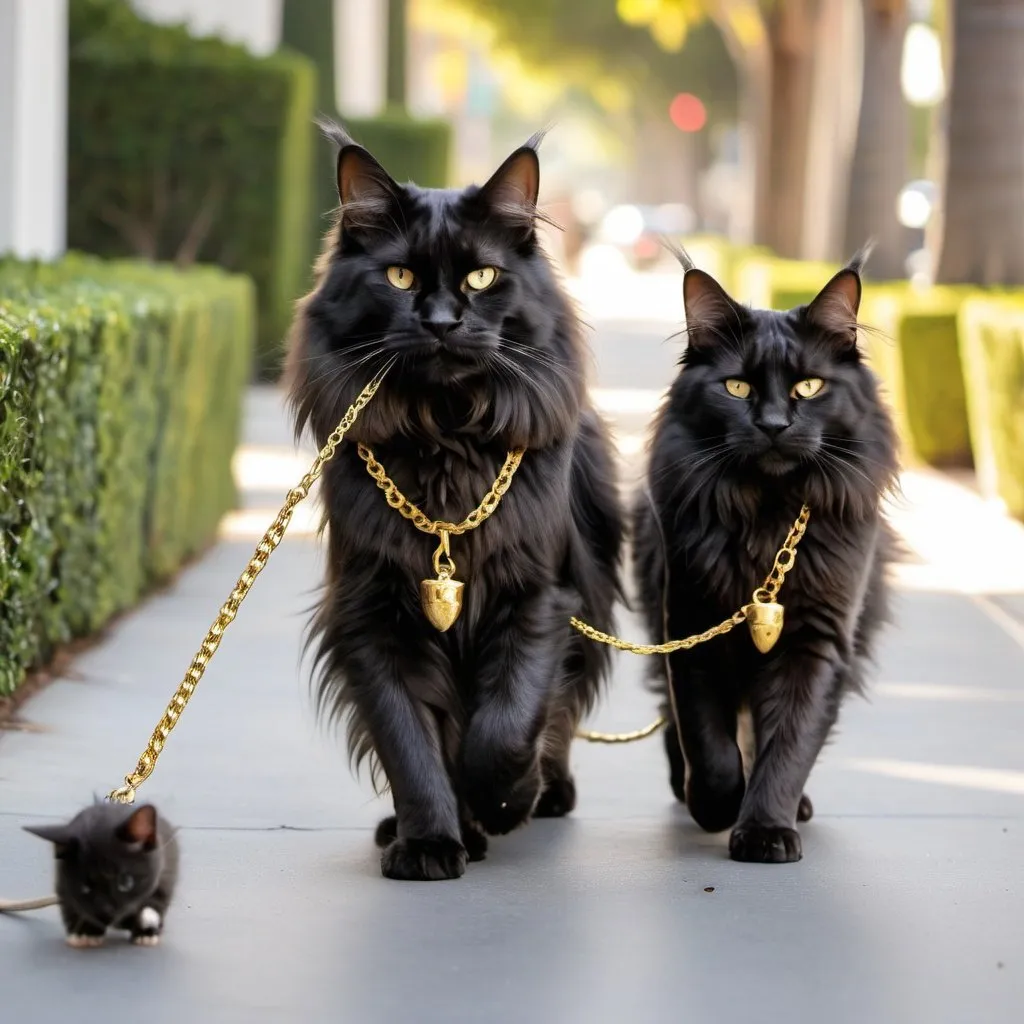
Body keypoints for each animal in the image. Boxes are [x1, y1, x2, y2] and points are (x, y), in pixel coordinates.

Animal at [12, 802, 178, 946]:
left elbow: (155, 902)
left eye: (126, 883)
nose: (106, 913)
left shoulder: (165, 874)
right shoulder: (63, 884)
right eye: (84, 887)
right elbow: (73, 905)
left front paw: (145, 932)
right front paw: (85, 932)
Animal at [288, 121, 622, 880]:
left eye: (481, 277)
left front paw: (505, 800)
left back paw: (542, 795)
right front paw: (432, 842)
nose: (441, 321)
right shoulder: (372, 614)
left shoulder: (536, 596)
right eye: (400, 277)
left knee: (556, 717)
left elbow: (505, 725)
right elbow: (410, 741)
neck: (443, 438)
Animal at [630, 249, 897, 864]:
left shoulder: (816, 641)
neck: (768, 516)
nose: (774, 425)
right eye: (736, 387)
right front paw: (716, 806)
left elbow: (790, 742)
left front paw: (766, 829)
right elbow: (707, 740)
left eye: (809, 386)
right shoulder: (692, 626)